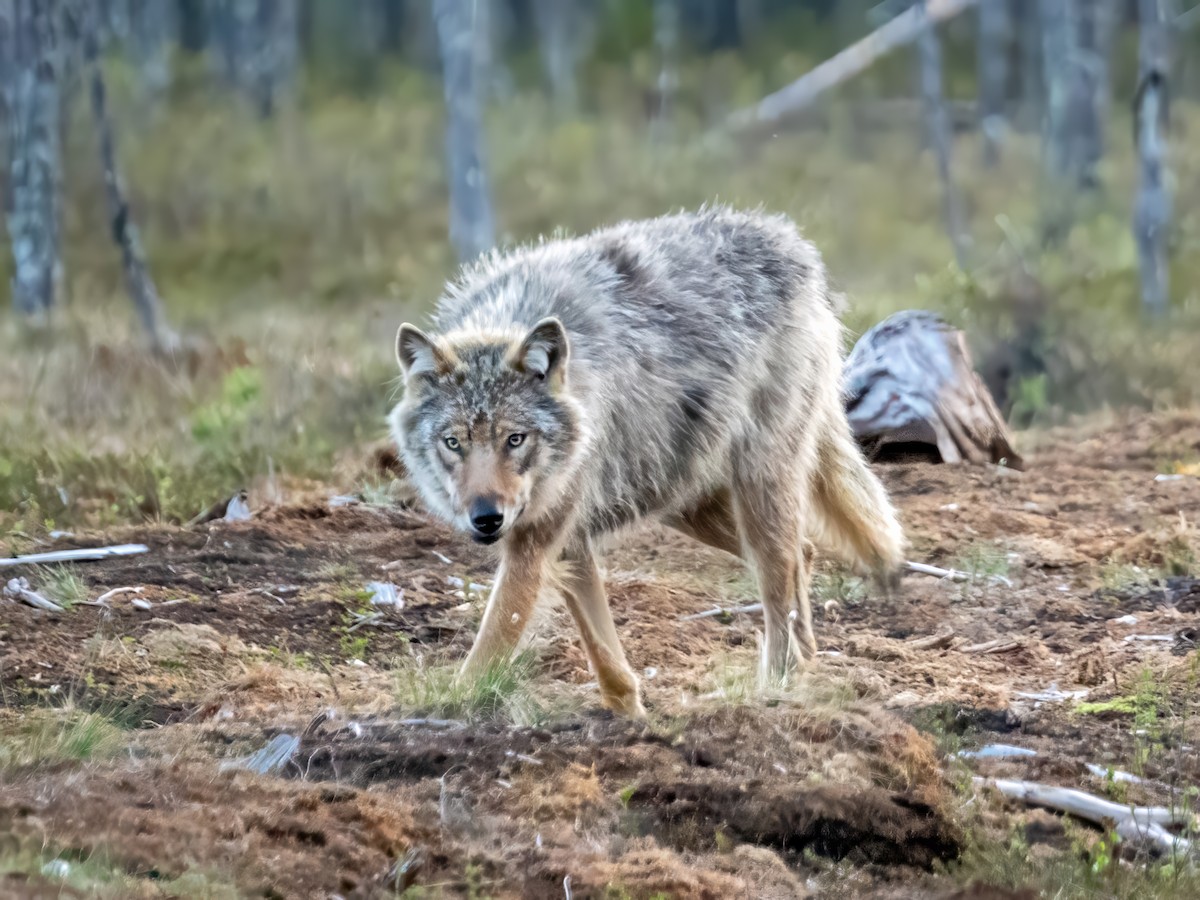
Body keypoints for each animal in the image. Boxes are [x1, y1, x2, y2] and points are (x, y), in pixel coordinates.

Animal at [389, 206, 905, 718]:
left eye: (515, 440)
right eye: (453, 443)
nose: (486, 519)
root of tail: (787, 240)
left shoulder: (535, 545)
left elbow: (490, 644)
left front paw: (448, 708)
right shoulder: (567, 541)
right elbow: (603, 651)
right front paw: (631, 713)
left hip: (755, 486)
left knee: (781, 581)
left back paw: (775, 688)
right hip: (681, 498)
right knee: (806, 552)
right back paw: (805, 663)